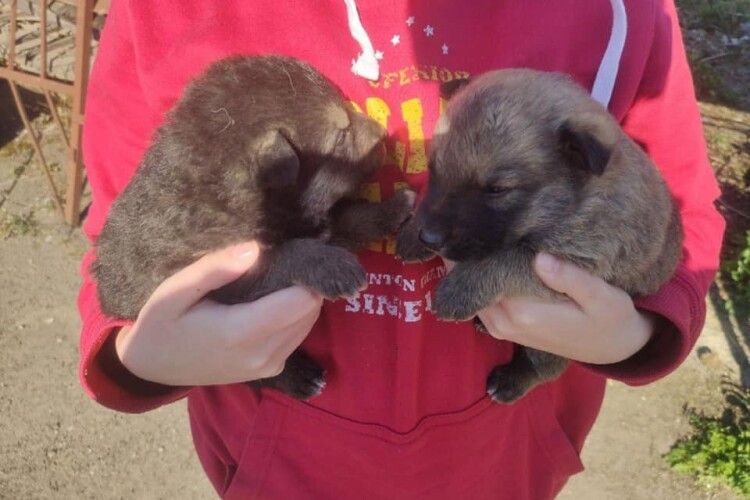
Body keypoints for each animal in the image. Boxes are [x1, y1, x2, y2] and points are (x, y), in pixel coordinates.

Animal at [94, 55, 418, 398]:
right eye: (340, 135)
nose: (384, 134)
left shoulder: (319, 223)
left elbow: (350, 220)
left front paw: (396, 207)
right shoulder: (225, 277)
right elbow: (285, 256)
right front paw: (335, 267)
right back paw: (300, 377)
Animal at [400, 69, 688, 402]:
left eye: (497, 189)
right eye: (433, 168)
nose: (428, 237)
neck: (571, 201)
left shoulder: (579, 264)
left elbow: (508, 260)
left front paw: (459, 288)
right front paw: (411, 234)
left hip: (557, 346)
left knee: (546, 369)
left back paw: (512, 382)